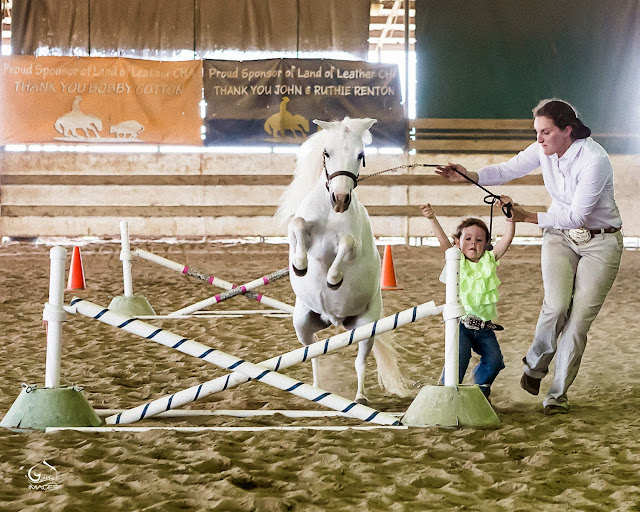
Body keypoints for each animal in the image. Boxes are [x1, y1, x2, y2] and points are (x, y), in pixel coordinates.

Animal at [276, 115, 410, 404]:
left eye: (360, 155)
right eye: (327, 152)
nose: (339, 199)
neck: (330, 212)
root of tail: (334, 320)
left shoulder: (353, 245)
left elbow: (347, 244)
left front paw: (333, 279)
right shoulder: (302, 233)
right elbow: (297, 226)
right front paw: (300, 266)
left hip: (365, 328)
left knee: (360, 361)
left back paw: (360, 397)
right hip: (302, 324)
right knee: (313, 351)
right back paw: (316, 388)